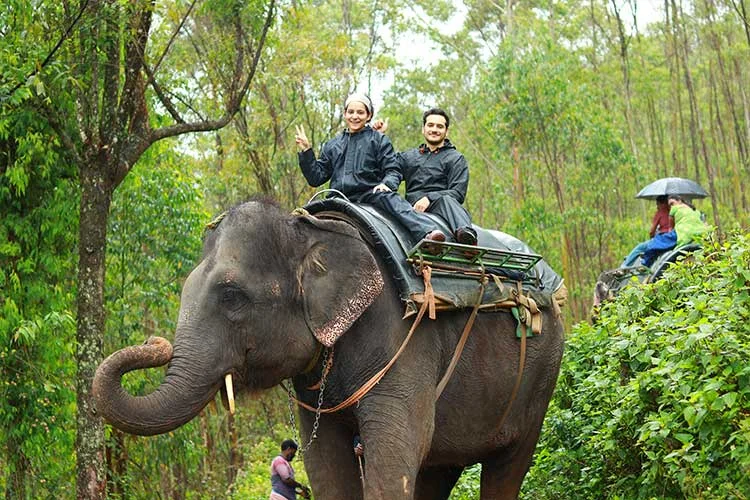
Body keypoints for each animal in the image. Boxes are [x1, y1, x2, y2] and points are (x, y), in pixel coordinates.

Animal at [93, 199, 565, 499]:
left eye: (231, 296)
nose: (155, 344)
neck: (314, 231)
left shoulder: (404, 341)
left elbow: (394, 455)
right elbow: (325, 464)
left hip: (541, 380)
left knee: (507, 467)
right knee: (439, 468)